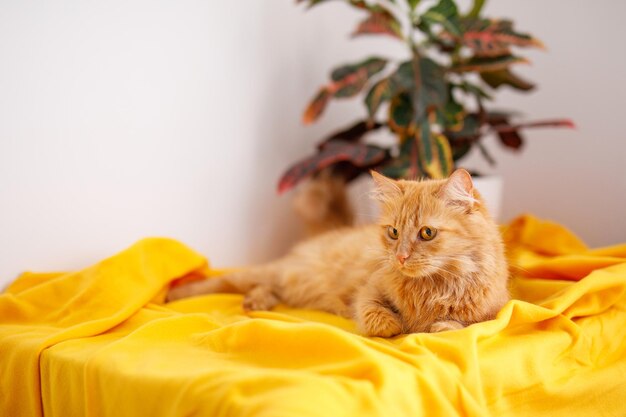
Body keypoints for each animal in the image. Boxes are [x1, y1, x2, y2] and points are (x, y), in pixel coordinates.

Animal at [168, 168, 510, 334]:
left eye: (427, 233)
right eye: (393, 232)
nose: (399, 257)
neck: (433, 287)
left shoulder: (493, 309)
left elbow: (461, 324)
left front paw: (439, 325)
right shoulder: (369, 290)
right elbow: (378, 318)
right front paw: (398, 325)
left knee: (264, 288)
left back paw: (257, 302)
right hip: (278, 272)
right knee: (224, 281)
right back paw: (171, 294)